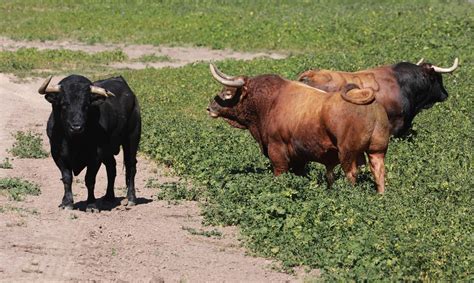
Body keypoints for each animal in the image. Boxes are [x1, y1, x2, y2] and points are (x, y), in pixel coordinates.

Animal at [207, 63, 388, 194]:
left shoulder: (277, 151)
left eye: (228, 93)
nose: (209, 108)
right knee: (379, 173)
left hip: (347, 155)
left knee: (351, 175)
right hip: (376, 152)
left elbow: (279, 172)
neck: (269, 103)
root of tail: (369, 104)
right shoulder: (299, 158)